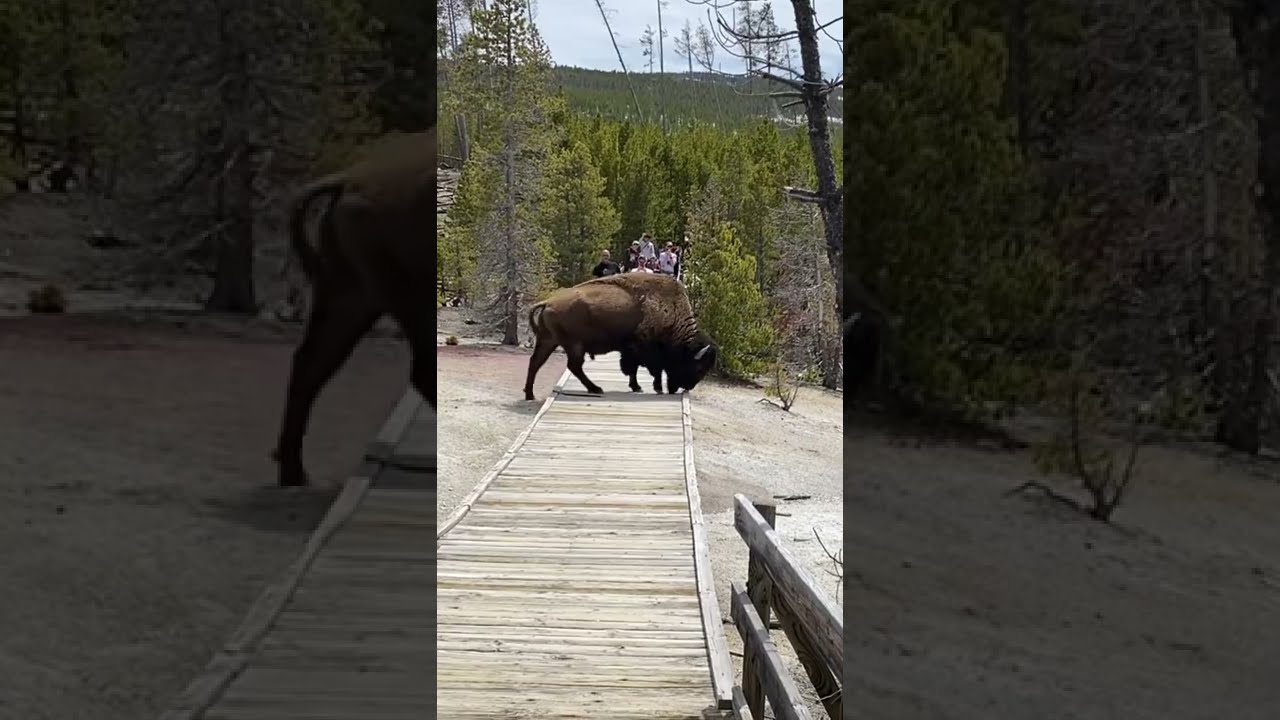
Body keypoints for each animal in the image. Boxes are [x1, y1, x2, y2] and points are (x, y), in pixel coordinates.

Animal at [270, 128, 435, 486]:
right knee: (422, 367)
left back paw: (294, 473)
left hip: (350, 293)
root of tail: (349, 179)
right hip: (407, 296)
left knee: (311, 363)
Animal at [522, 271, 721, 399]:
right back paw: (596, 389)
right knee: (573, 366)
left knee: (536, 362)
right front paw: (649, 387)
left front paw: (638, 387)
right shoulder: (643, 350)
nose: (687, 387)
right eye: (699, 368)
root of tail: (548, 302)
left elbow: (633, 369)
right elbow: (646, 369)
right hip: (573, 346)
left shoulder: (630, 350)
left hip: (549, 341)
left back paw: (530, 394)